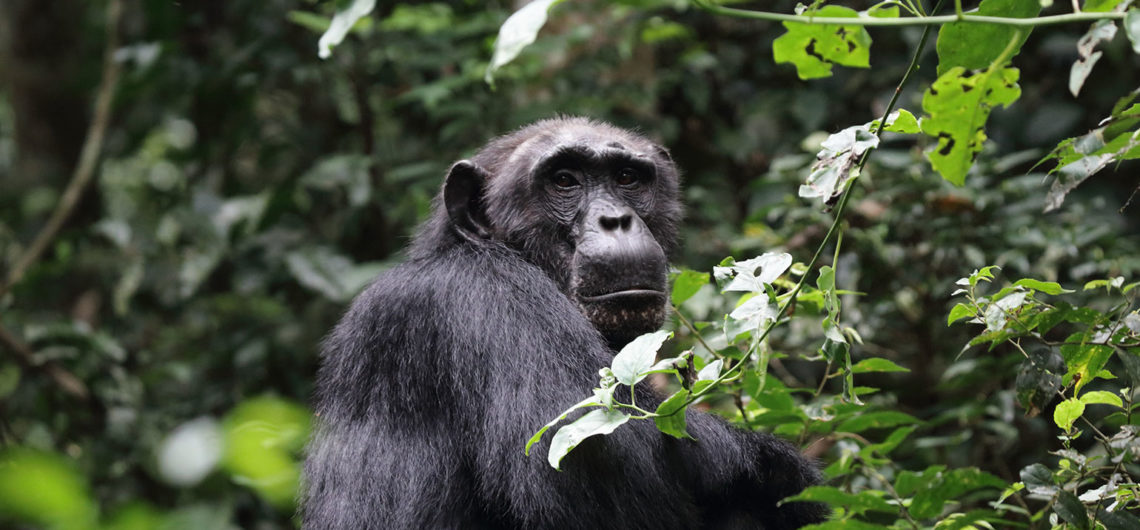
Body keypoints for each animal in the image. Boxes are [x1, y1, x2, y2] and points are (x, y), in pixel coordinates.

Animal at [298, 117, 825, 526]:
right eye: (565, 181)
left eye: (627, 177)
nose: (616, 219)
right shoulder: (493, 302)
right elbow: (598, 453)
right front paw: (783, 474)